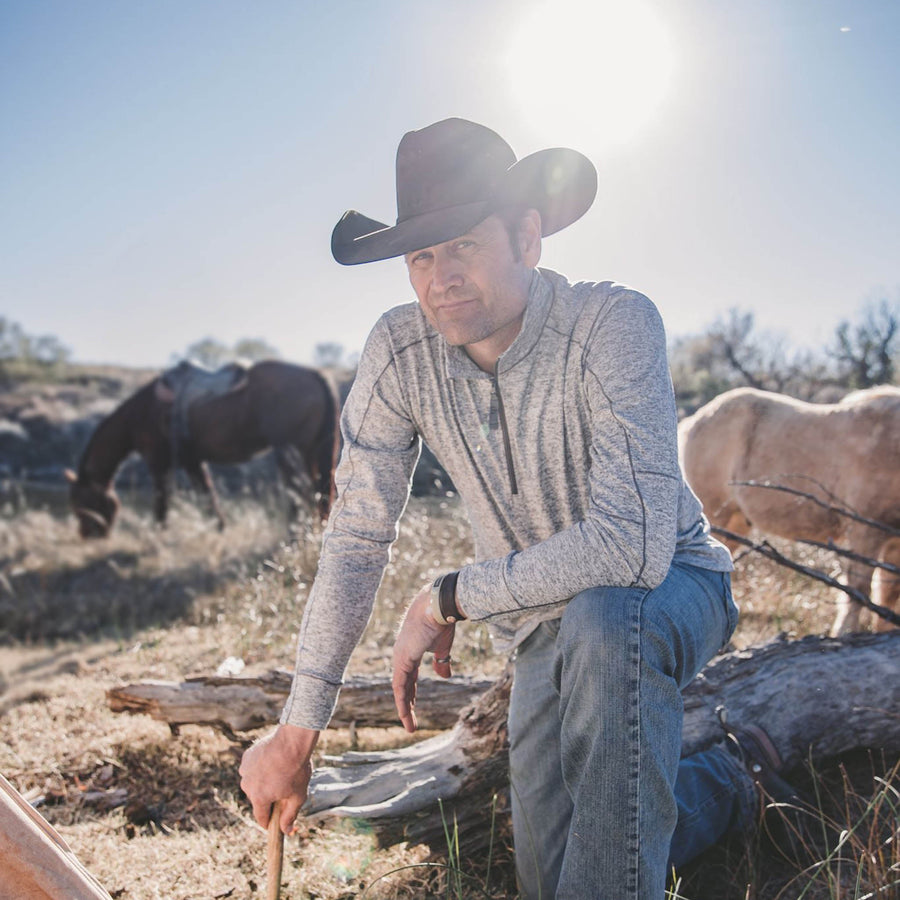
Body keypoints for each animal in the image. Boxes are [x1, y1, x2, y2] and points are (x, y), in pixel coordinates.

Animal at [67, 360, 340, 540]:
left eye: (82, 501)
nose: (87, 535)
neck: (140, 413)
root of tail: (315, 373)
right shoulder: (192, 461)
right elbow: (207, 495)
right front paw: (220, 529)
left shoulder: (159, 463)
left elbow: (164, 500)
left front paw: (159, 534)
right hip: (310, 451)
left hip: (289, 451)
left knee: (299, 491)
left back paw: (294, 535)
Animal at [680, 384, 900, 632]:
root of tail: (692, 421)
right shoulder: (864, 532)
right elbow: (858, 590)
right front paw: (844, 633)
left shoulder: (894, 541)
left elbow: (889, 594)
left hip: (736, 523)